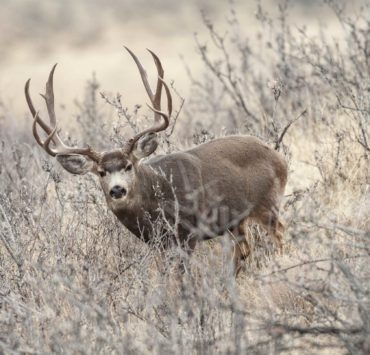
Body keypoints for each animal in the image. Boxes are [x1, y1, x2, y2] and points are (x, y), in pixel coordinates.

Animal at [24, 47, 288, 276]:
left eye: (128, 165)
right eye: (101, 172)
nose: (117, 190)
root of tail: (279, 158)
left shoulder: (187, 233)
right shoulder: (157, 243)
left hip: (267, 203)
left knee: (281, 235)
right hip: (236, 222)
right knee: (243, 253)